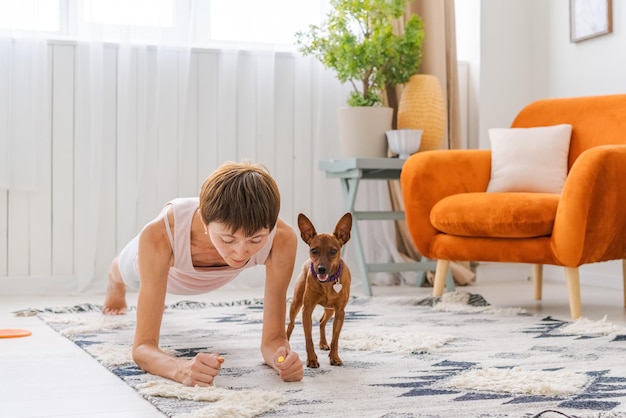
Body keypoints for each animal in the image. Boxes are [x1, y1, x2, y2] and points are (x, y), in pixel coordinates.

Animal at [286, 214, 352, 368]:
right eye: (314, 250)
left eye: (333, 251)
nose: (321, 269)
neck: (327, 283)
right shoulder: (307, 310)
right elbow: (308, 339)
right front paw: (311, 359)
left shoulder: (340, 312)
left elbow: (335, 339)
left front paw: (334, 357)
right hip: (296, 304)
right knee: (291, 325)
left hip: (330, 310)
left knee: (322, 322)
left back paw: (323, 343)